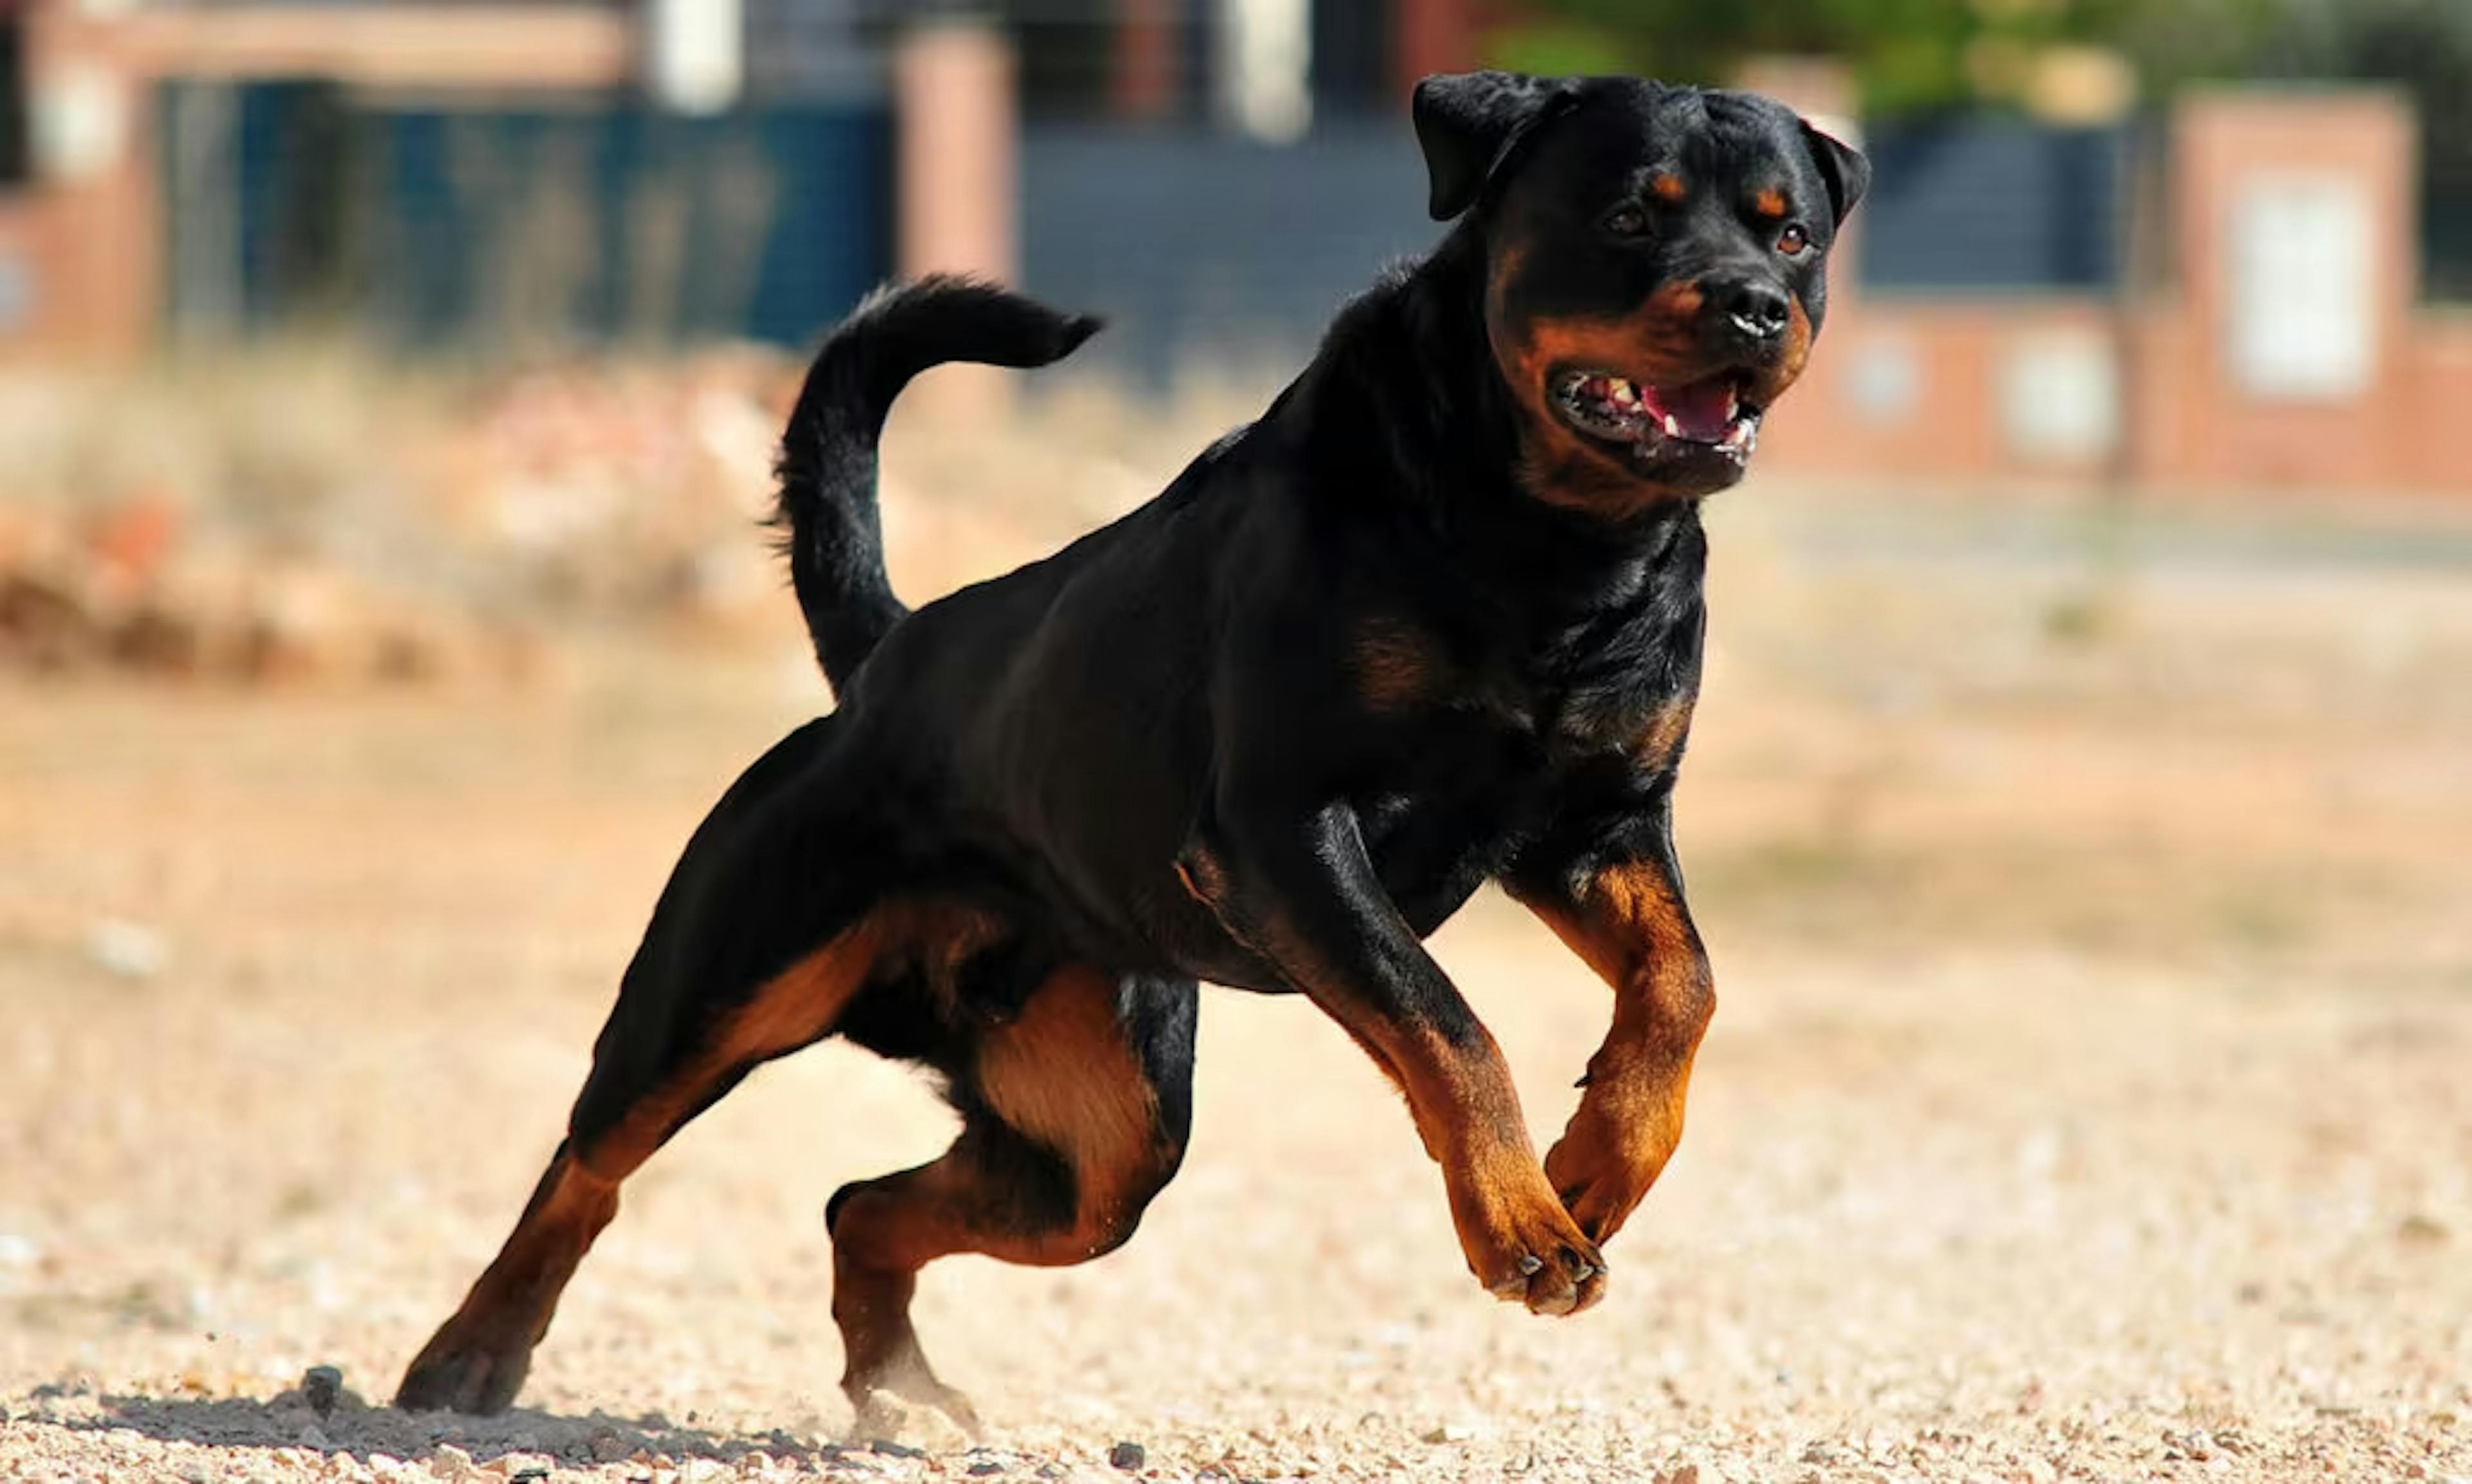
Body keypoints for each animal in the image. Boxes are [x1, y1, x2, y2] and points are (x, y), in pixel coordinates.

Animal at [395, 72, 1859, 1432]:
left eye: (1791, 235)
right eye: (1628, 218)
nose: (1753, 307)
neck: (1554, 545)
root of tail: (884, 658)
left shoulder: (1599, 824)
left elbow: (1683, 984)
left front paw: (1602, 1160)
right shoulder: (1285, 828)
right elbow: (1450, 1024)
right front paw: (1522, 1221)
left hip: (1104, 1136)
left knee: (866, 1202)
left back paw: (897, 1384)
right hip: (727, 978)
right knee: (593, 1159)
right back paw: (471, 1350)